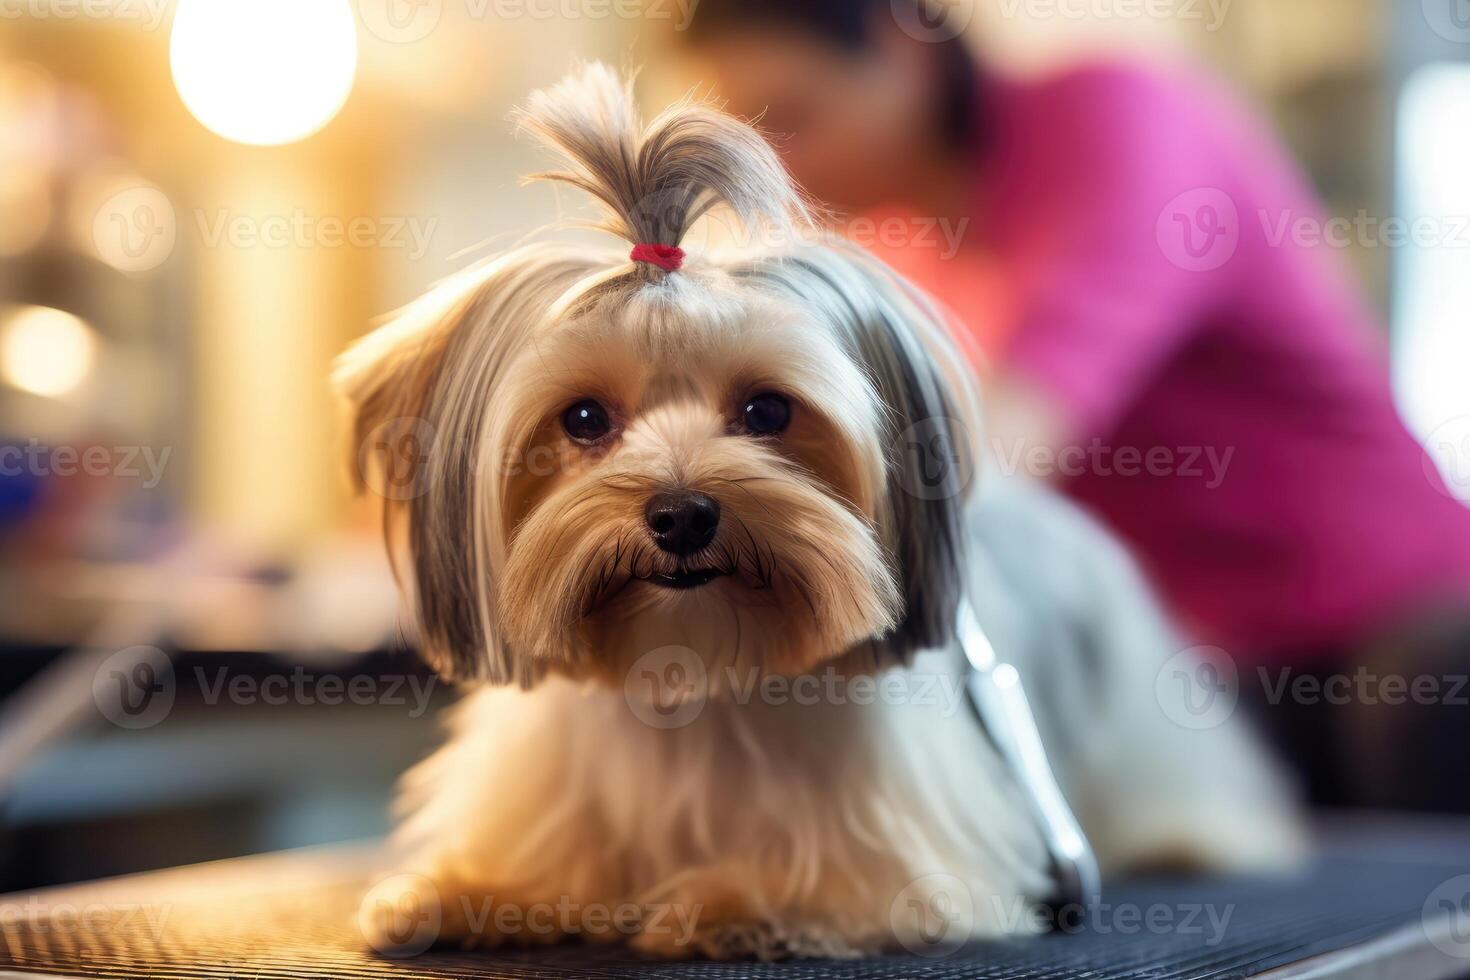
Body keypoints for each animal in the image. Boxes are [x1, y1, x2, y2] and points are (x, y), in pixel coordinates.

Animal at [336, 61, 1299, 957]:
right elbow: (533, 867)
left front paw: (729, 902)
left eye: (767, 410)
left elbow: (836, 881)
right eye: (583, 419)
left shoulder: (906, 853)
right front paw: (452, 893)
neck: (696, 675)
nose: (681, 514)